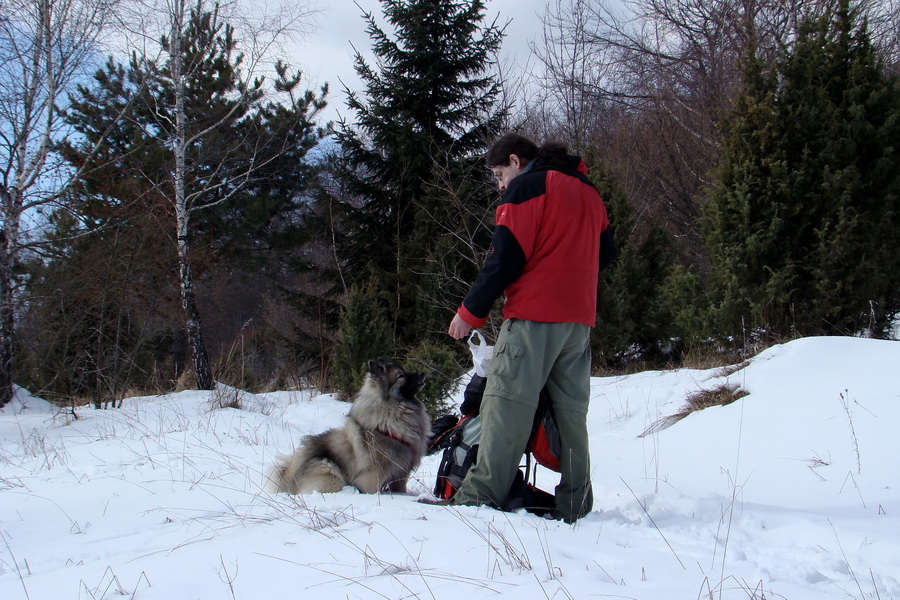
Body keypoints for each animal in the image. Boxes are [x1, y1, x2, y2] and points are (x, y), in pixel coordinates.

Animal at [268, 358, 428, 494]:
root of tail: (289, 475)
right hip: (330, 471)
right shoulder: (374, 473)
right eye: (401, 375)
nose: (422, 373)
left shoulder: (401, 474)